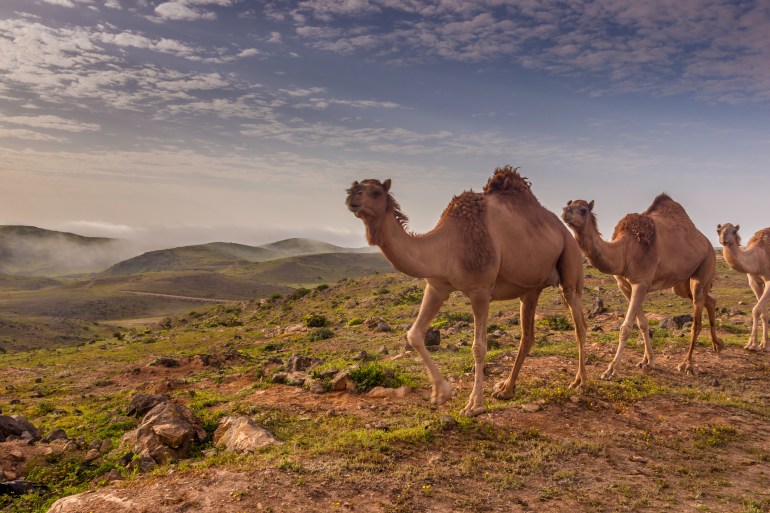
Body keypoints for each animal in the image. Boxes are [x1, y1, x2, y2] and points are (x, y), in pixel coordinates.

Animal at [344, 165, 584, 416]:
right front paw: (441, 392)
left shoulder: (480, 291)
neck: (448, 243)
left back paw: (580, 382)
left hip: (570, 262)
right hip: (530, 290)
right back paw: (506, 390)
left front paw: (474, 406)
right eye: (355, 186)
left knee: (579, 325)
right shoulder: (437, 286)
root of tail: (563, 229)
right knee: (527, 336)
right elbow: (414, 334)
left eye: (376, 192)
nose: (352, 196)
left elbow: (478, 347)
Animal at [560, 194, 720, 378]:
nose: (565, 212)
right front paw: (648, 361)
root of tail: (707, 243)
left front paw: (612, 369)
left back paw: (687, 364)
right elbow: (642, 322)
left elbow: (626, 327)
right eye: (568, 205)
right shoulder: (624, 285)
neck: (625, 250)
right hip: (681, 284)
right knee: (710, 300)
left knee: (697, 319)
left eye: (583, 210)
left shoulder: (641, 283)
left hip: (706, 264)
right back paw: (718, 345)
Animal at [712, 222, 768, 350]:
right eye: (718, 230)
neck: (758, 257)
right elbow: (763, 312)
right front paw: (763, 344)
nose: (724, 240)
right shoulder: (754, 282)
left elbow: (756, 309)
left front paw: (752, 345)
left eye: (734, 231)